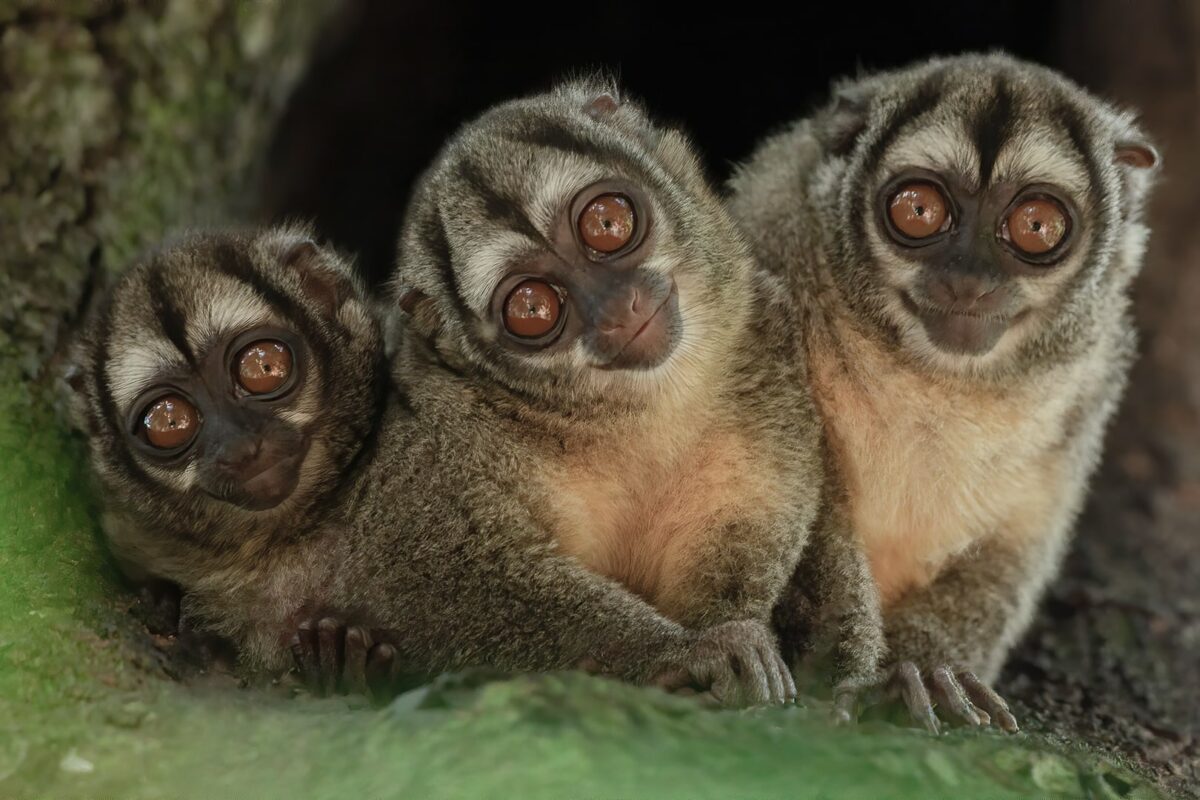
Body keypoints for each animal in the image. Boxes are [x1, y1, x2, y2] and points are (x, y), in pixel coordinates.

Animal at [727, 53, 1160, 732]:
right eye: (919, 211)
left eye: (1036, 225)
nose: (968, 281)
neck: (938, 374)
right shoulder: (774, 247)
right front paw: (848, 672)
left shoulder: (1091, 379)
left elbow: (1011, 546)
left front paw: (927, 672)